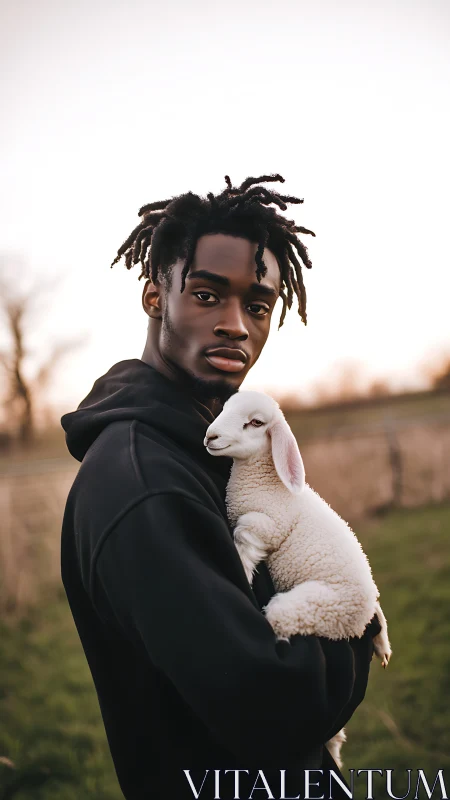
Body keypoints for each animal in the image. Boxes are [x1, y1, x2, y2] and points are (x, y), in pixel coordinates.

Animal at [204, 389, 392, 769]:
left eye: (255, 422)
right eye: (224, 408)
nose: (210, 437)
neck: (261, 478)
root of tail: (361, 612)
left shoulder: (267, 524)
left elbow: (244, 535)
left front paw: (241, 566)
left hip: (312, 607)